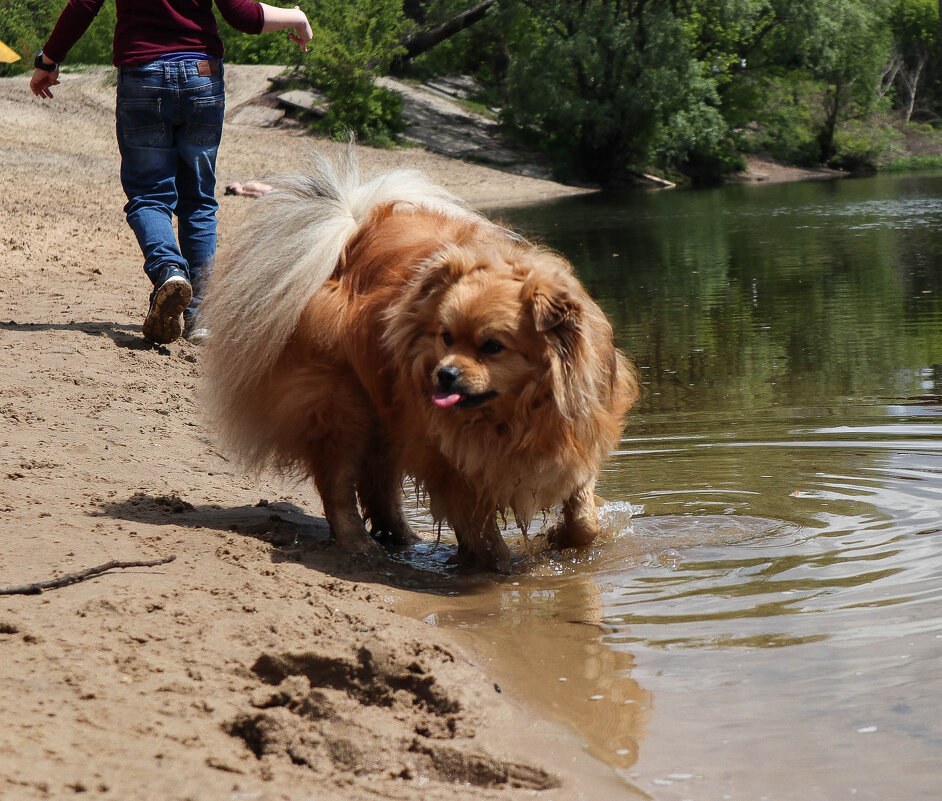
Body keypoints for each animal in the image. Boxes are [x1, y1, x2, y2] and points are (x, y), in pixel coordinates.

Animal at [202, 153, 636, 572]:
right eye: (446, 337)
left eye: (492, 347)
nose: (444, 374)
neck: (515, 416)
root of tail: (351, 237)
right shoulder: (449, 462)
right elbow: (481, 532)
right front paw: (498, 570)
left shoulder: (575, 439)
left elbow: (584, 517)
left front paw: (564, 539)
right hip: (341, 407)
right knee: (338, 483)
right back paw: (359, 544)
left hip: (385, 412)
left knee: (378, 481)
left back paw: (404, 539)